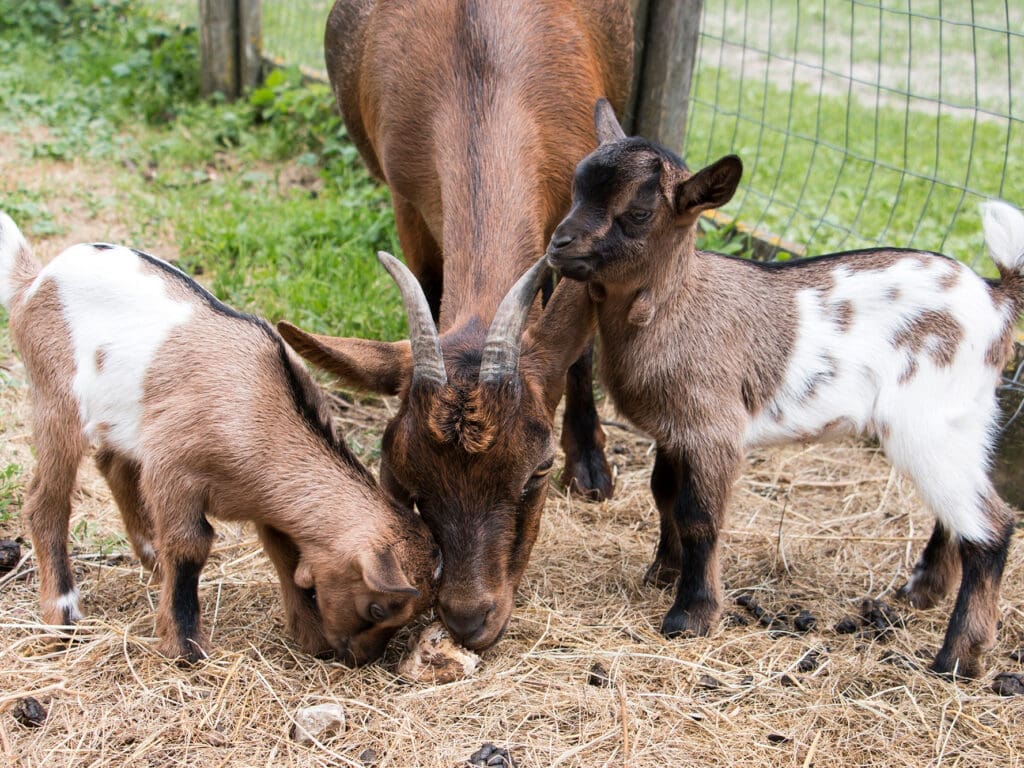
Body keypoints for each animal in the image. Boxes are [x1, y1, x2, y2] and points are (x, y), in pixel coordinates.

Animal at [280, 0, 630, 651]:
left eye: (538, 469)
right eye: (399, 479)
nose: (469, 619)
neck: (481, 83)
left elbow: (574, 338)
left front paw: (590, 464)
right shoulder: (408, 202)